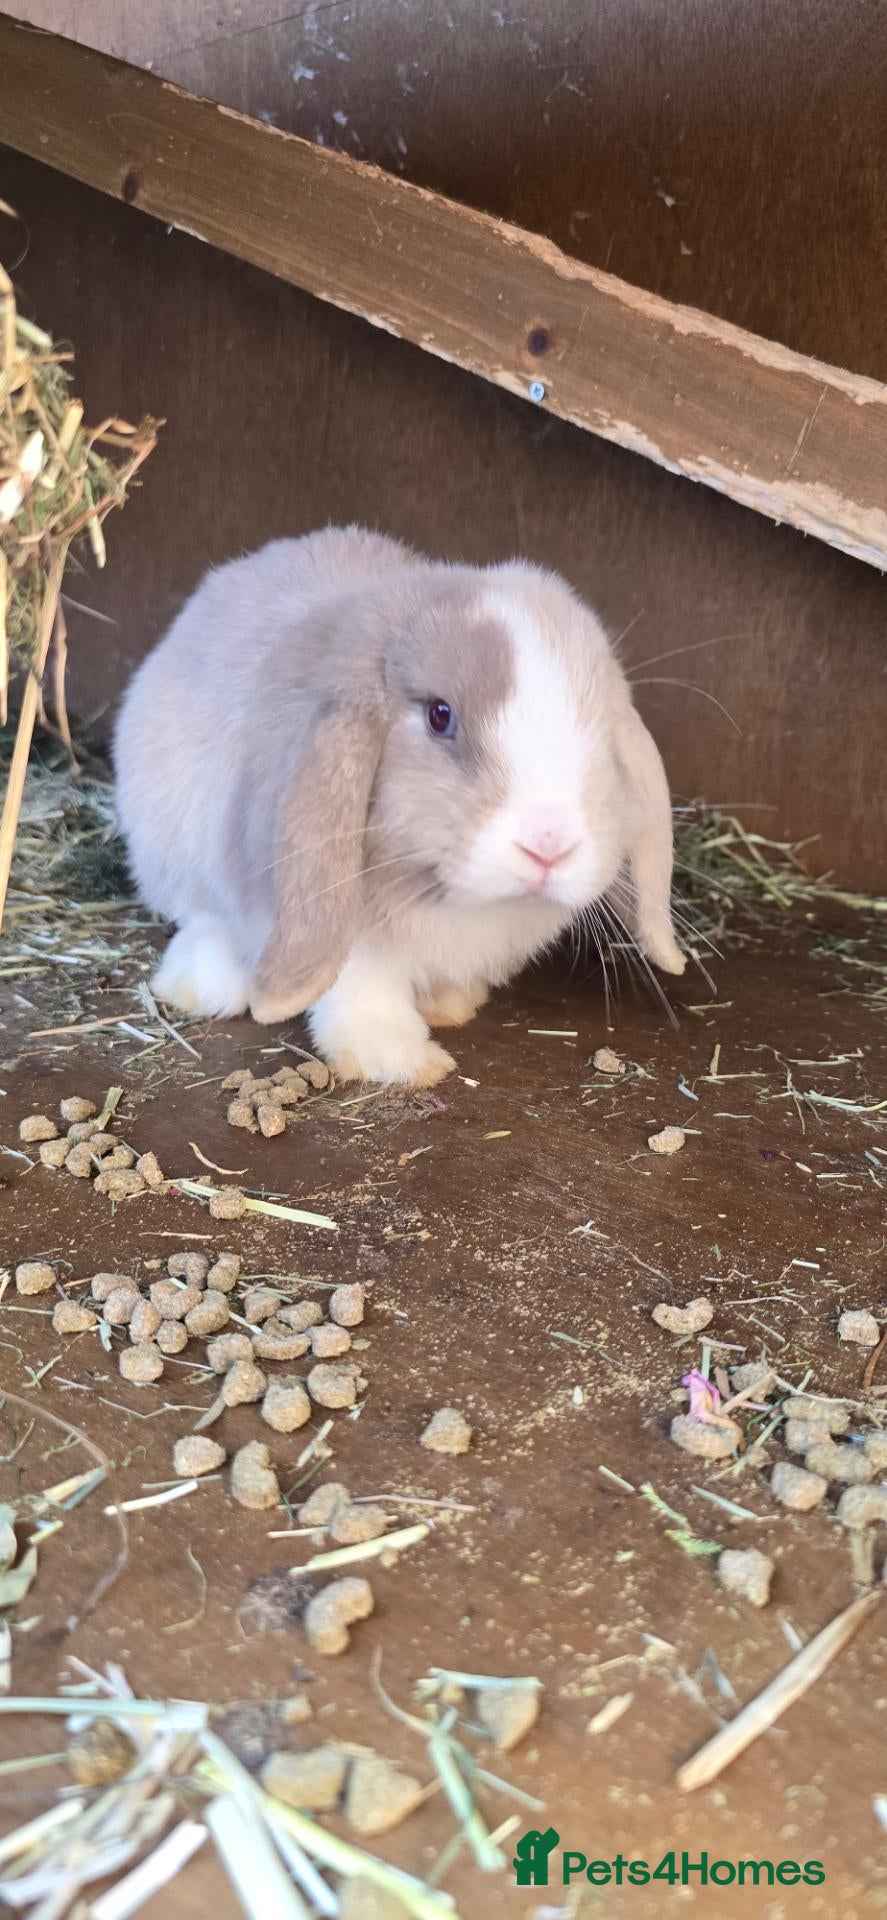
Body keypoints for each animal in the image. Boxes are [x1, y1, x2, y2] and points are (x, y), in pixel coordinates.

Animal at [114, 526, 685, 1088]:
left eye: (602, 734)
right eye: (440, 716)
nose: (550, 844)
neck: (450, 900)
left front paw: (452, 1005)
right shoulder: (345, 934)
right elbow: (361, 991)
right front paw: (404, 1062)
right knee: (202, 917)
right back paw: (206, 985)